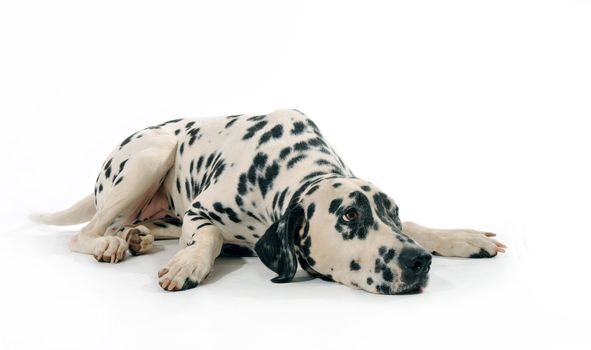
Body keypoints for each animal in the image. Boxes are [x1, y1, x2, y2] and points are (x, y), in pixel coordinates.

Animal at [32, 110, 506, 296]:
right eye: (349, 214)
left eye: (392, 211)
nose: (418, 261)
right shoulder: (200, 212)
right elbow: (209, 237)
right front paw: (189, 264)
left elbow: (420, 226)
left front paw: (462, 238)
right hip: (151, 156)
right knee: (87, 231)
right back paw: (109, 244)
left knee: (127, 224)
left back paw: (135, 236)